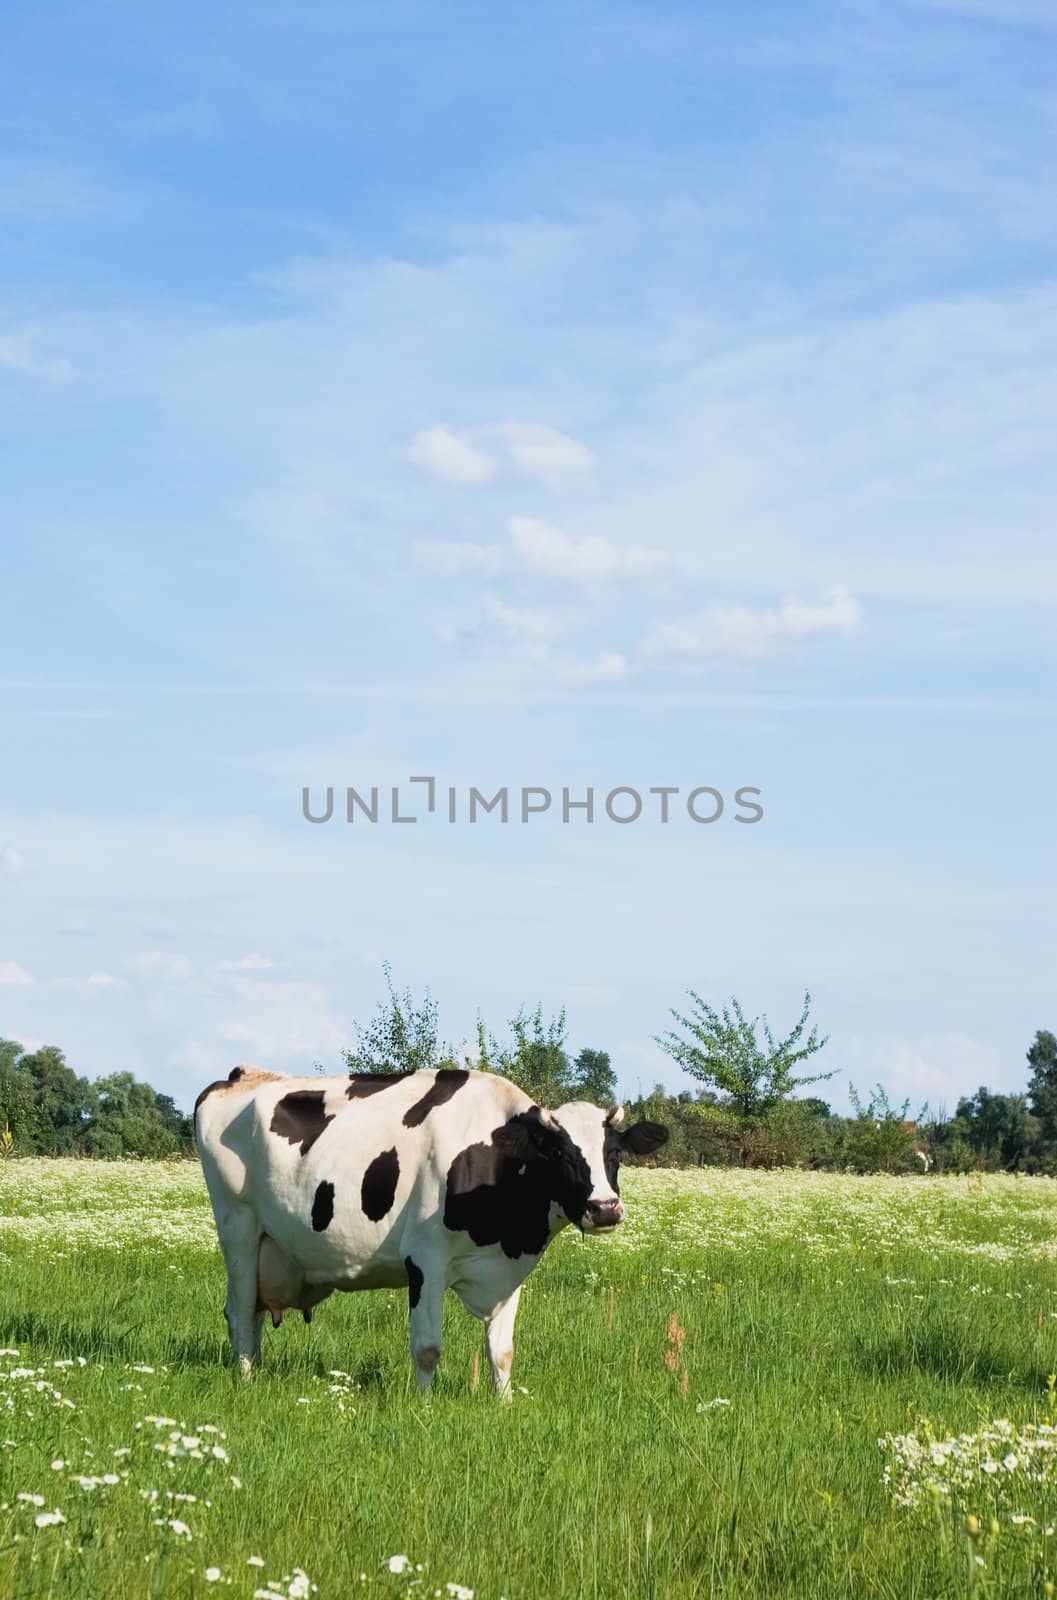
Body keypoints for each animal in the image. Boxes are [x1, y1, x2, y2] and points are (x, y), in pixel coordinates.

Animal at [193, 1068, 665, 1395]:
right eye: (561, 1155)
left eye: (614, 1154)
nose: (604, 1209)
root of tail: (240, 1077)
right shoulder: (425, 1258)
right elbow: (427, 1347)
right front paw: (423, 1405)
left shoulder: (509, 1270)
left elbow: (502, 1351)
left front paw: (504, 1403)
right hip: (238, 1228)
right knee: (239, 1311)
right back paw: (246, 1381)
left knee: (253, 1313)